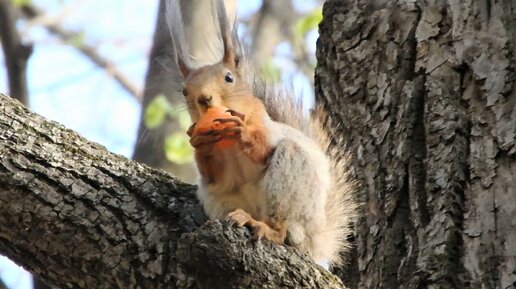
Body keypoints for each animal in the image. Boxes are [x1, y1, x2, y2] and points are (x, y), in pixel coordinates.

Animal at [164, 0, 354, 266]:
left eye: (228, 78)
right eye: (184, 91)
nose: (204, 98)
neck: (228, 145)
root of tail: (315, 241)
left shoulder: (267, 129)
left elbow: (263, 150)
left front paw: (243, 132)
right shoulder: (216, 178)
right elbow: (213, 175)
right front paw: (200, 142)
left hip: (290, 181)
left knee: (283, 231)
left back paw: (264, 228)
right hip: (219, 199)